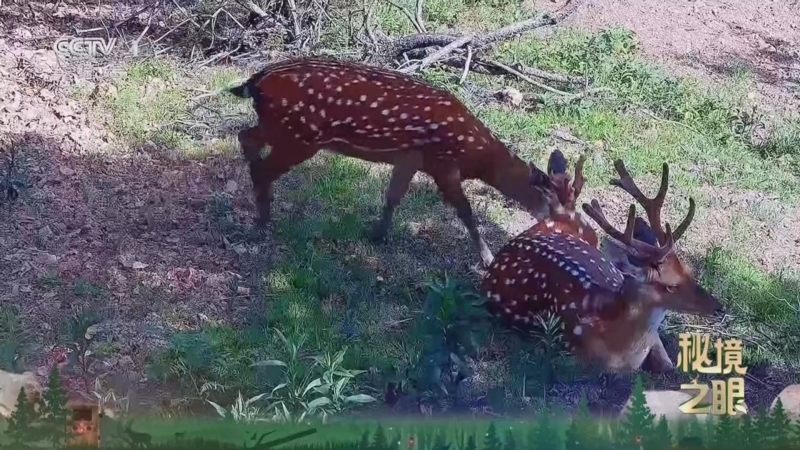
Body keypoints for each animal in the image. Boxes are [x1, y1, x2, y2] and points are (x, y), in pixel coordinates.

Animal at [227, 57, 553, 267]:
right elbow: (465, 210)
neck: (472, 152)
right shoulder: (442, 162)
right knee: (262, 166)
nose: (556, 224)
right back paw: (263, 218)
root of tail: (254, 82)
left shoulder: (410, 158)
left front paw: (378, 234)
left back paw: (262, 201)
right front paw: (487, 258)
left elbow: (393, 196)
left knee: (247, 137)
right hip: (301, 136)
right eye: (554, 199)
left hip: (280, 127)